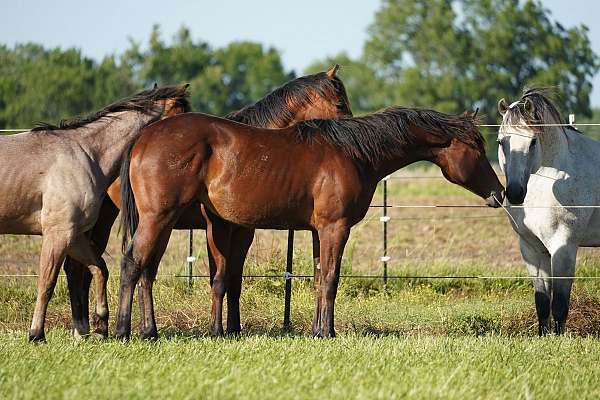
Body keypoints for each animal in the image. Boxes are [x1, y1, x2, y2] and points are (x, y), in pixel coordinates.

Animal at [0, 84, 190, 340]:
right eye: (181, 113)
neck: (86, 154)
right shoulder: (58, 234)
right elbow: (47, 284)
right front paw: (36, 334)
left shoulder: (75, 235)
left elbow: (99, 268)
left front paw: (97, 325)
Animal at [63, 64, 352, 340]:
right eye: (339, 104)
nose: (348, 135)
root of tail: (140, 141)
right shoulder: (220, 228)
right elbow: (220, 277)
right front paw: (220, 329)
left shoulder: (242, 231)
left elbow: (234, 279)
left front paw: (233, 328)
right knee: (100, 267)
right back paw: (104, 328)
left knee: (134, 271)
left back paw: (136, 329)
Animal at [115, 104, 504, 340]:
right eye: (478, 148)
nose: (500, 193)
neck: (354, 153)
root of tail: (144, 137)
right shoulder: (336, 227)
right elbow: (330, 279)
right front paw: (327, 332)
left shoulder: (320, 231)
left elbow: (319, 278)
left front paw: (317, 330)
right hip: (158, 218)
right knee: (132, 264)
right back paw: (121, 331)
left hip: (165, 223)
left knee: (147, 269)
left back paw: (149, 330)